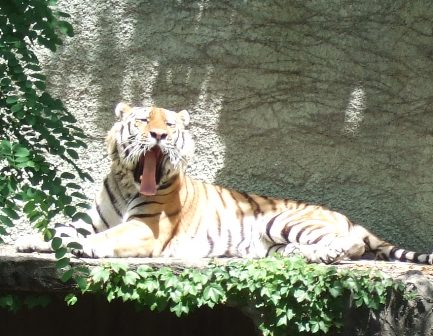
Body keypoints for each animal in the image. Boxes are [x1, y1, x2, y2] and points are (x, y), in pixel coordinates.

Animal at [16, 102, 432, 266]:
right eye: (142, 120)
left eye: (169, 124)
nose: (158, 136)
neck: (128, 183)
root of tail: (346, 216)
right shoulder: (94, 218)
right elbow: (60, 228)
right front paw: (30, 240)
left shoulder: (145, 229)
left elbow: (104, 238)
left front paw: (85, 248)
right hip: (274, 239)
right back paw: (302, 256)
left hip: (283, 220)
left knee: (353, 244)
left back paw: (323, 255)